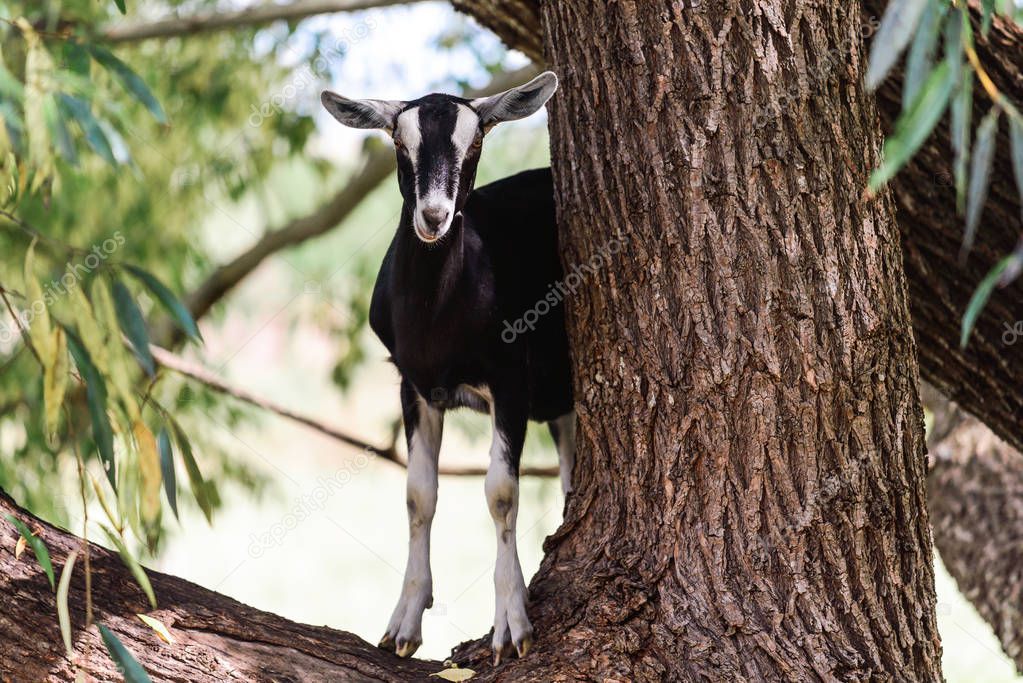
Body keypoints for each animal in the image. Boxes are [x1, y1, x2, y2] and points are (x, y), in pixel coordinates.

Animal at [321, 72, 576, 662]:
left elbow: (501, 493)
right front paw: (403, 624)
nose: (434, 216)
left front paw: (511, 624)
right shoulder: (412, 384)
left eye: (476, 141)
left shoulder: (511, 380)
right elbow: (420, 494)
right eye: (398, 142)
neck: (439, 325)